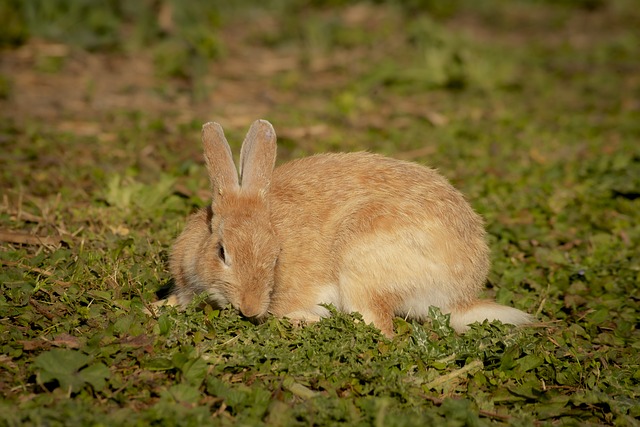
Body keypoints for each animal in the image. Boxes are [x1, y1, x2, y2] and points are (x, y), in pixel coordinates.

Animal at [168, 119, 532, 338]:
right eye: (222, 252)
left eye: (275, 257)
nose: (250, 308)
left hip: (361, 267)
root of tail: (459, 296)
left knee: (378, 327)